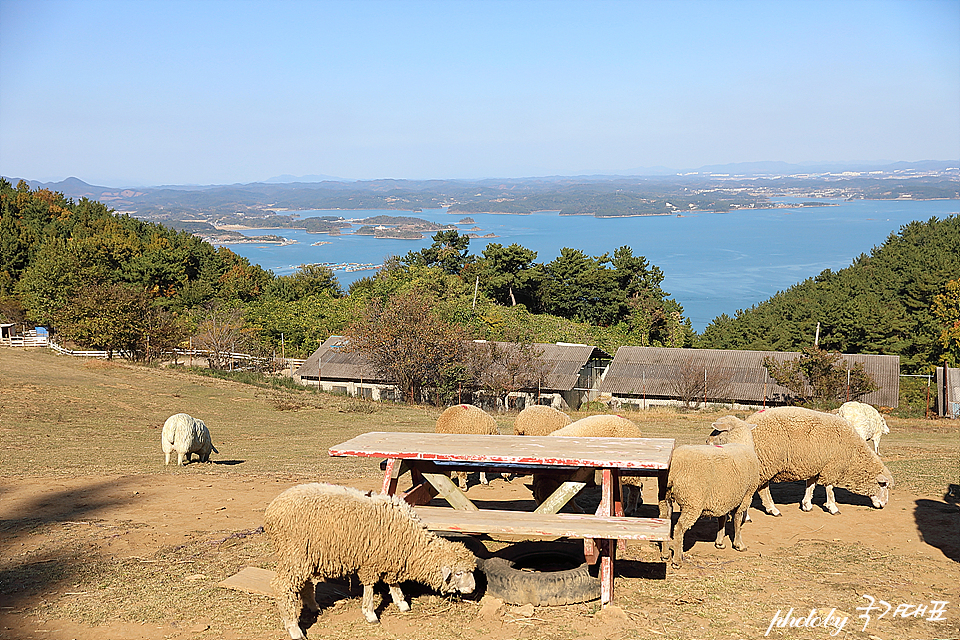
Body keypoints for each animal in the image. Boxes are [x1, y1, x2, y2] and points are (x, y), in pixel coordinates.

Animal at [262, 482, 476, 636]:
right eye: (458, 573)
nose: (473, 589)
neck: (410, 543)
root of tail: (272, 509)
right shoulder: (370, 561)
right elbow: (370, 586)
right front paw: (370, 613)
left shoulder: (391, 559)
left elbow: (393, 582)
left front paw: (401, 602)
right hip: (293, 551)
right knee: (283, 586)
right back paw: (293, 628)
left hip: (305, 555)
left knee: (304, 581)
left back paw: (313, 606)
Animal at [660, 418, 756, 568]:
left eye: (716, 431)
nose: (706, 440)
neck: (740, 442)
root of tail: (675, 466)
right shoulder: (747, 495)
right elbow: (738, 520)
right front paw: (739, 544)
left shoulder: (724, 497)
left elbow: (722, 518)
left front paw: (720, 542)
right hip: (692, 502)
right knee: (679, 528)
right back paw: (677, 560)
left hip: (665, 497)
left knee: (665, 520)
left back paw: (665, 554)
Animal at [708, 408, 896, 516]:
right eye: (883, 485)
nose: (885, 505)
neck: (853, 456)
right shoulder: (831, 466)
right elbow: (830, 489)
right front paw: (832, 507)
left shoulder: (815, 466)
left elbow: (810, 486)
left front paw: (807, 505)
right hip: (764, 463)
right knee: (758, 489)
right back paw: (754, 513)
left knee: (761, 488)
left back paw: (771, 509)